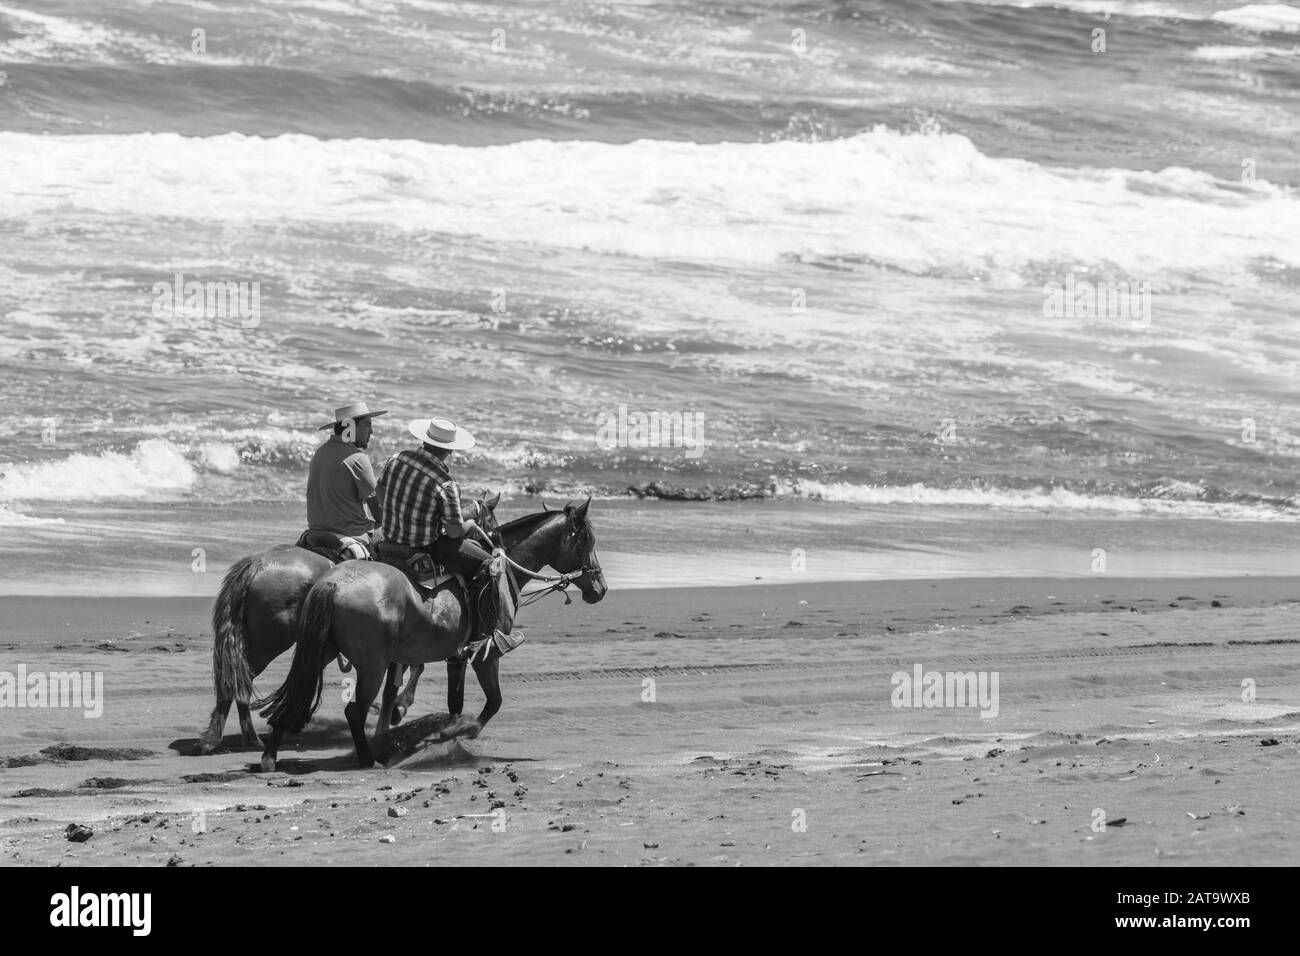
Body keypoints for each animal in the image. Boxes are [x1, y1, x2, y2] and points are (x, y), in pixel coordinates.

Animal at [193, 494, 501, 754]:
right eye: (490, 525)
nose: (492, 545)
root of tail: (258, 562)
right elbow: (406, 677)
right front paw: (396, 712)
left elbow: (400, 680)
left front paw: (392, 715)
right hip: (271, 640)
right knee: (240, 676)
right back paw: (227, 738)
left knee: (238, 675)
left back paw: (236, 737)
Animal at [256, 502, 605, 770]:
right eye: (587, 540)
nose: (600, 589)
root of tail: (333, 582)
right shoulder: (485, 654)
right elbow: (492, 702)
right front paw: (459, 734)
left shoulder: (456, 657)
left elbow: (454, 703)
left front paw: (445, 732)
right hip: (371, 664)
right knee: (353, 711)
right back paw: (369, 759)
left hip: (323, 650)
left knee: (296, 693)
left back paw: (270, 755)